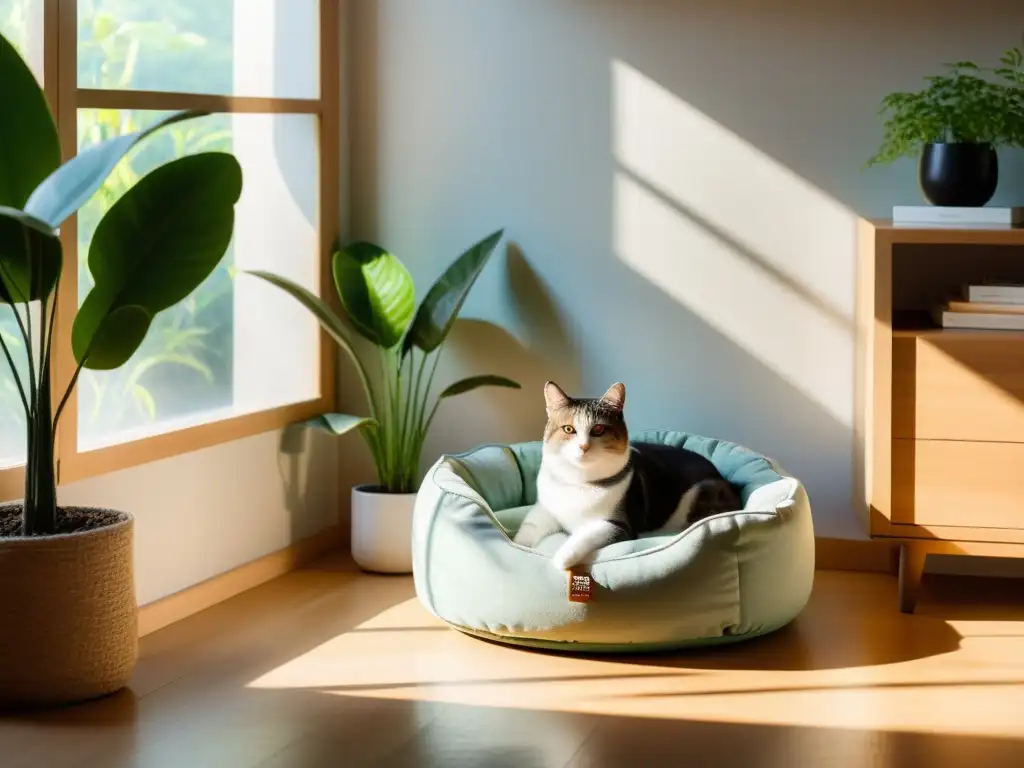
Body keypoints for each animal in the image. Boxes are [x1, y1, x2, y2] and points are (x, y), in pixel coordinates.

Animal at [512, 380, 745, 573]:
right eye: (568, 429)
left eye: (598, 429)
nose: (583, 446)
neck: (579, 482)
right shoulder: (545, 509)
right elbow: (528, 527)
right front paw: (516, 546)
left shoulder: (619, 525)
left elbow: (587, 533)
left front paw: (561, 558)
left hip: (704, 490)